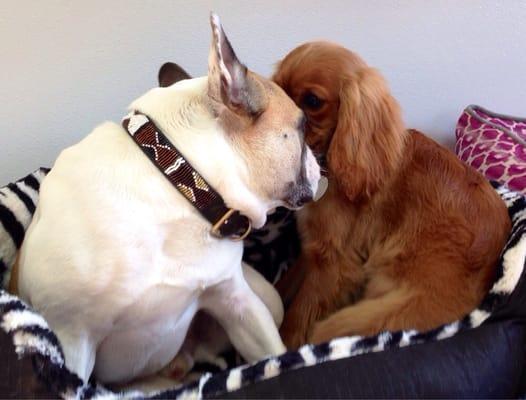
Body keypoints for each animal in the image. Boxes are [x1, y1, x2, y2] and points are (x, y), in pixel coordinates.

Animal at [16, 14, 320, 384]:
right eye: (302, 127)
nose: (318, 163)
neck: (181, 183)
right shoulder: (72, 340)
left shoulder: (238, 302)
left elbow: (273, 354)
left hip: (268, 299)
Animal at [274, 40, 512, 346]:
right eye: (275, 89)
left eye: (313, 101)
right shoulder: (313, 247)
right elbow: (282, 287)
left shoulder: (333, 264)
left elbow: (297, 316)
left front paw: (280, 346)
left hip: (357, 320)